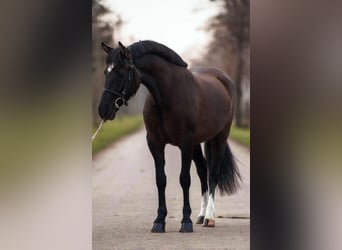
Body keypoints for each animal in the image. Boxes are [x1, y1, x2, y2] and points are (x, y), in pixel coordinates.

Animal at [97, 40, 239, 233]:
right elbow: (161, 180)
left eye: (121, 72)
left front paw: (185, 221)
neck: (168, 95)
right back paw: (201, 215)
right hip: (197, 143)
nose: (103, 110)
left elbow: (184, 179)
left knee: (213, 173)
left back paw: (209, 217)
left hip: (219, 138)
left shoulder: (185, 143)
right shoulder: (155, 143)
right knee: (203, 170)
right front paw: (159, 221)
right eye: (106, 71)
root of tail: (223, 79)